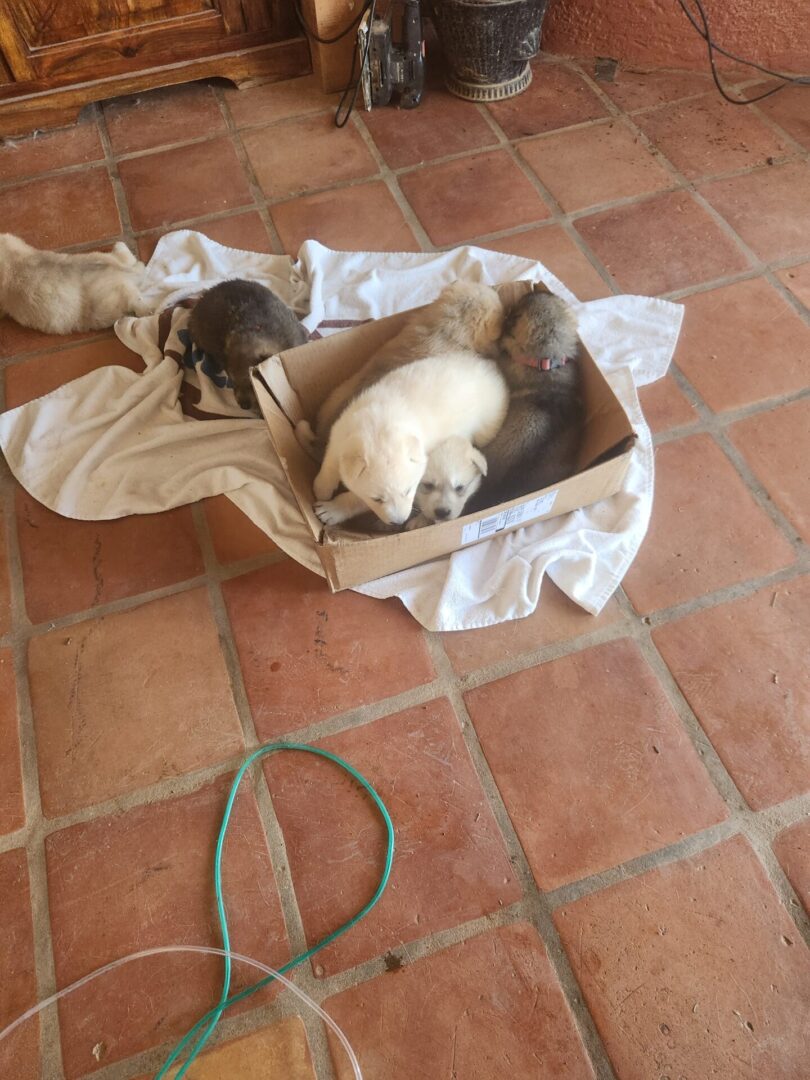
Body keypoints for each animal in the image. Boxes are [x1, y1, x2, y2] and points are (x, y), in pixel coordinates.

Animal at [313, 352, 507, 524]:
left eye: (408, 490)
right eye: (377, 498)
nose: (398, 522)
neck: (378, 426)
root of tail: (492, 368)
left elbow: (357, 498)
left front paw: (331, 509)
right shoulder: (343, 429)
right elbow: (331, 458)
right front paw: (321, 487)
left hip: (487, 425)